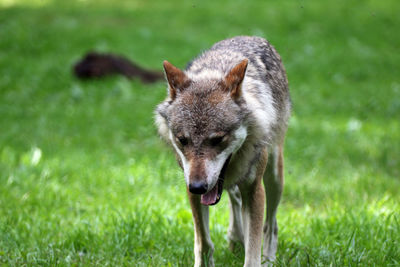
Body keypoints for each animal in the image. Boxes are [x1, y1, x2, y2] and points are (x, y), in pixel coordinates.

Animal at [155, 36, 290, 267]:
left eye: (218, 139)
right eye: (183, 140)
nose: (198, 187)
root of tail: (252, 37)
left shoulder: (255, 190)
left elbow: (252, 254)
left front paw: (254, 254)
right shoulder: (191, 191)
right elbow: (203, 242)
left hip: (274, 177)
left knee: (271, 224)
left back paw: (268, 259)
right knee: (234, 198)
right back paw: (236, 238)